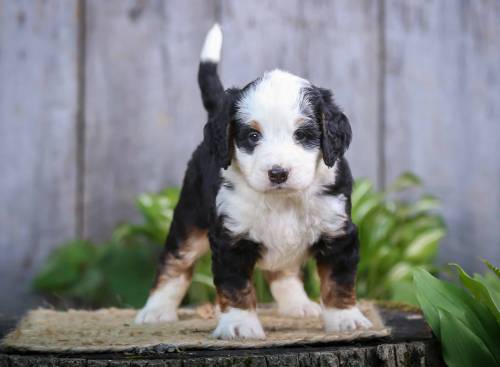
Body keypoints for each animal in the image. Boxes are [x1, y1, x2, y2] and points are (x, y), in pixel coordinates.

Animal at [135, 23, 374, 340]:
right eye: (252, 136)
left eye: (302, 135)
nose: (278, 173)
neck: (282, 199)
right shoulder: (230, 237)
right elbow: (235, 285)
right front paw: (238, 324)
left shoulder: (338, 232)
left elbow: (339, 280)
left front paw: (346, 319)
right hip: (190, 218)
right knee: (175, 261)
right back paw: (156, 311)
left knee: (282, 271)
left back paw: (298, 305)